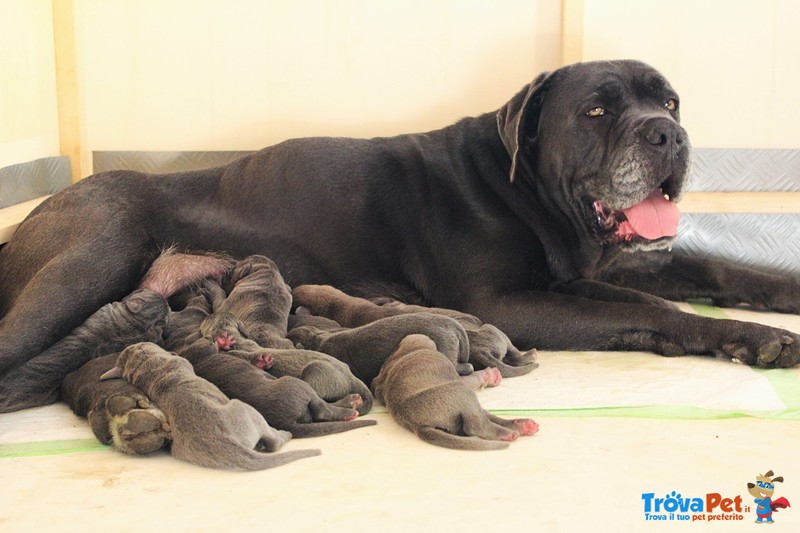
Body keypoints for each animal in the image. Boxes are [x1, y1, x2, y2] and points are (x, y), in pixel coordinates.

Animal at [374, 334, 536, 450]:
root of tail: (417, 426)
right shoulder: (460, 379)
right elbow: (471, 378)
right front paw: (490, 375)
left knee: (485, 419)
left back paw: (523, 426)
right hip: (462, 392)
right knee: (475, 426)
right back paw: (508, 433)